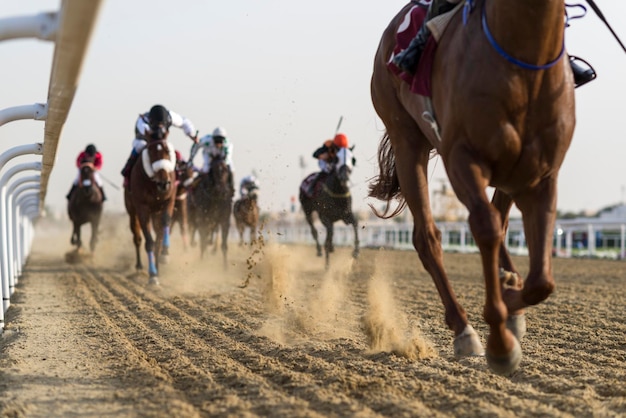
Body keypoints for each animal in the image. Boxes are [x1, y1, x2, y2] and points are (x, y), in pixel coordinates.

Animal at [123, 140, 178, 284]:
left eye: (168, 152)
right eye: (151, 153)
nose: (164, 183)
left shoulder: (168, 200)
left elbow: (165, 223)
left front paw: (165, 254)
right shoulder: (142, 208)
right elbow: (149, 242)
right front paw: (152, 274)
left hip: (155, 213)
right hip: (132, 210)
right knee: (137, 238)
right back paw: (139, 267)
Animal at [370, 0, 576, 374]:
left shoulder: (541, 172)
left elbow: (542, 279)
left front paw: (510, 299)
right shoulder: (462, 156)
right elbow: (486, 228)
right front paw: (500, 342)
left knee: (500, 218)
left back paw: (508, 287)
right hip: (407, 139)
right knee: (428, 237)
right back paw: (464, 329)